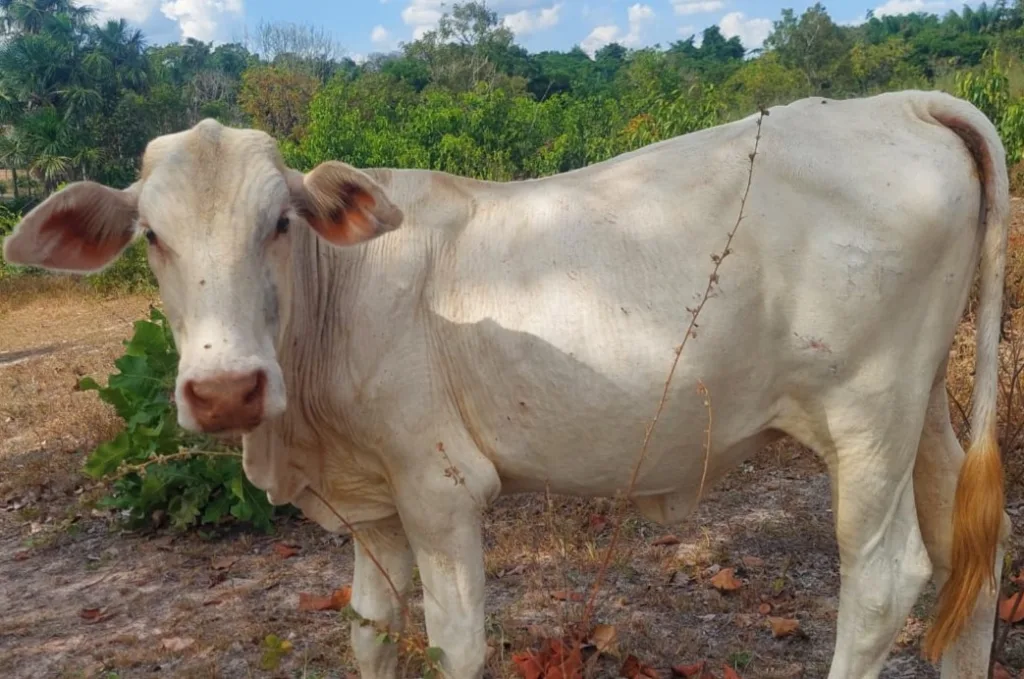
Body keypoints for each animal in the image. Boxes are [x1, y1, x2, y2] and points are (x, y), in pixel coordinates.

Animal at [2, 89, 1015, 675]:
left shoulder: (440, 489)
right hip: (922, 410)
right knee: (971, 555)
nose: (226, 391)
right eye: (152, 236)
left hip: (866, 416)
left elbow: (455, 642)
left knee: (884, 579)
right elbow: (371, 631)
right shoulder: (372, 508)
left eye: (279, 222)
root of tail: (903, 104)